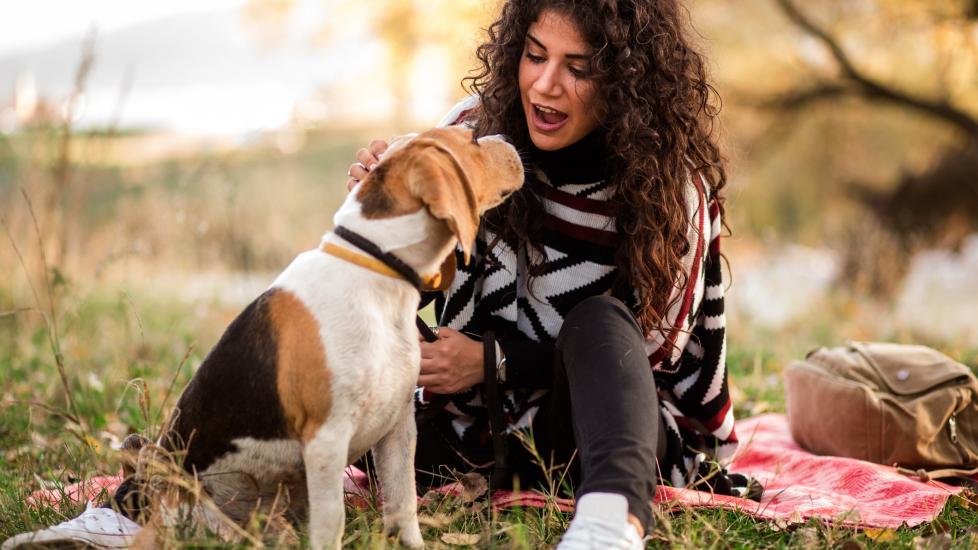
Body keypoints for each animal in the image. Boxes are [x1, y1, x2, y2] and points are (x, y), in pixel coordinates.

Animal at [131, 127, 528, 548]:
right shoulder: (327, 441)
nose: (507, 139)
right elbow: (333, 521)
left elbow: (403, 502)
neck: (378, 271)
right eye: (473, 138)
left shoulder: (399, 425)